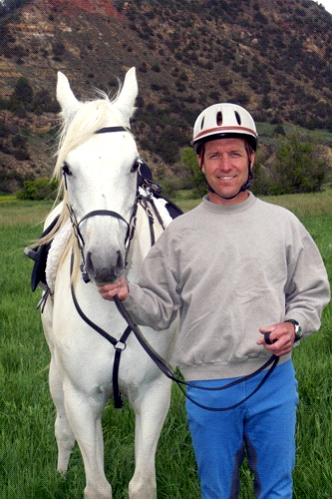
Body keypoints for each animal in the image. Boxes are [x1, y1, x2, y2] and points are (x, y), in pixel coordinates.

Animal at [38, 67, 178, 500]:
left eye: (134, 165)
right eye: (67, 168)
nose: (104, 262)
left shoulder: (153, 394)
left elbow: (142, 483)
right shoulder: (82, 399)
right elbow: (97, 486)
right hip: (58, 375)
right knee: (62, 429)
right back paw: (60, 473)